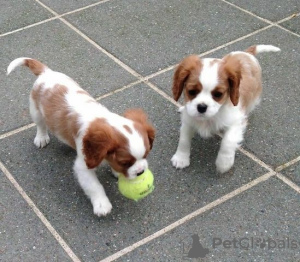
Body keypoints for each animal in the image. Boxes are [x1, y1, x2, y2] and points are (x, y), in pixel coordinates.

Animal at [7, 57, 156, 217]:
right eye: (125, 162)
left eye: (146, 155)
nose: (141, 172)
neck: (101, 120)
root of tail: (47, 72)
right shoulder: (83, 167)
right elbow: (95, 186)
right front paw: (102, 205)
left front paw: (116, 172)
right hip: (35, 110)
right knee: (41, 125)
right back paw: (41, 138)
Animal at [171, 44, 282, 173]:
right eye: (192, 91)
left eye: (218, 94)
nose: (202, 107)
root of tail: (247, 53)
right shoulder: (189, 121)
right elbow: (183, 139)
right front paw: (181, 158)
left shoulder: (237, 121)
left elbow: (228, 141)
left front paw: (224, 163)